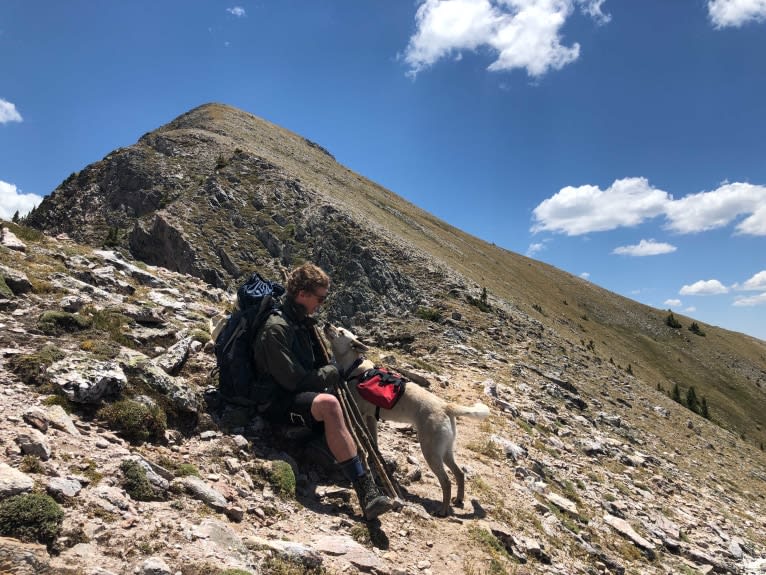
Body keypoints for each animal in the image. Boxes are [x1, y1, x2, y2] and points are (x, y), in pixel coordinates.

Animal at [324, 324, 492, 516]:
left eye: (341, 332)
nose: (327, 324)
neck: (354, 366)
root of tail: (446, 406)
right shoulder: (370, 418)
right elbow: (373, 442)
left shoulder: (358, 412)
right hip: (445, 450)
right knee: (459, 474)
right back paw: (458, 500)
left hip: (430, 451)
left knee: (446, 480)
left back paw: (443, 510)